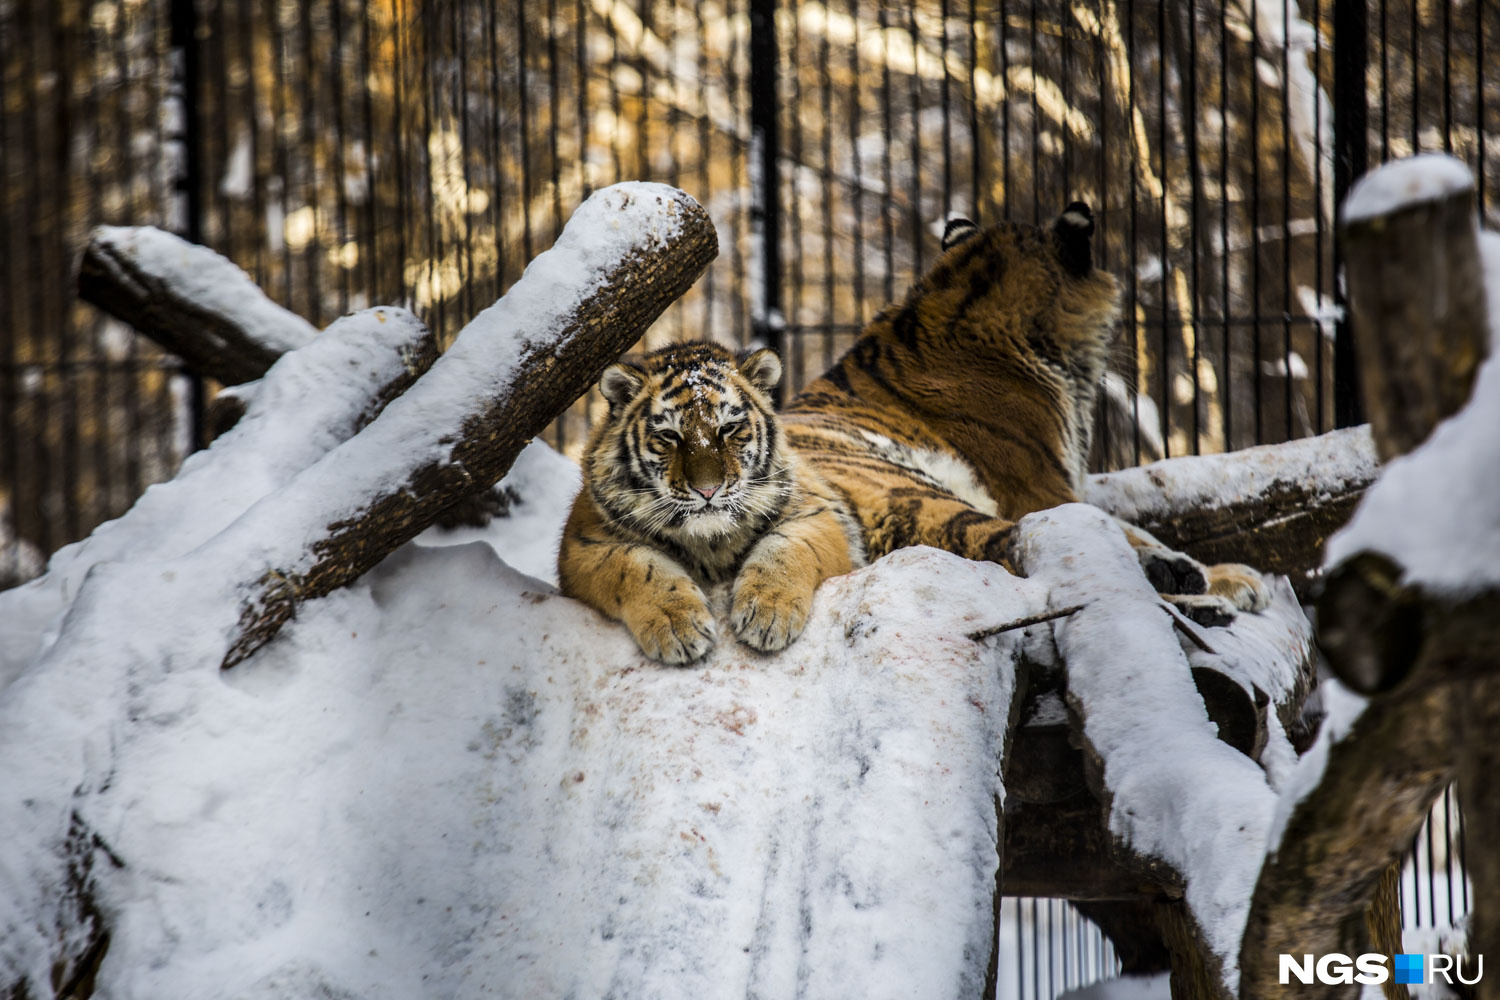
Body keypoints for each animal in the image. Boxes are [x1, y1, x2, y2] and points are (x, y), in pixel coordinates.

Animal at [561, 341, 870, 665]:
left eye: (729, 428)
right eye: (669, 434)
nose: (707, 490)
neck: (710, 542)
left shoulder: (816, 512)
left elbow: (786, 550)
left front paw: (768, 614)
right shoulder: (582, 542)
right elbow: (635, 565)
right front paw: (678, 625)